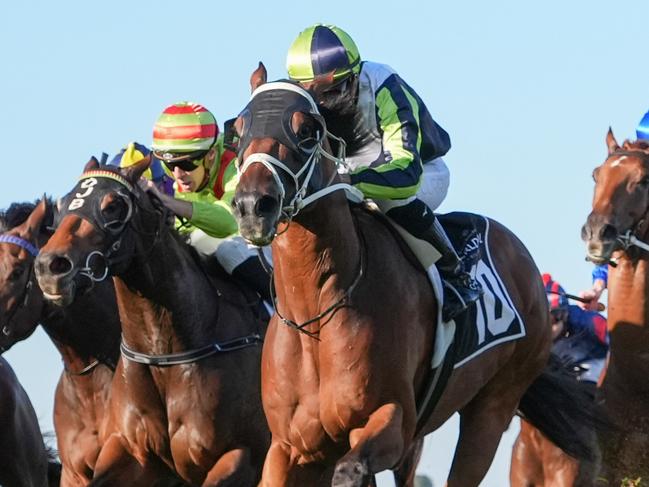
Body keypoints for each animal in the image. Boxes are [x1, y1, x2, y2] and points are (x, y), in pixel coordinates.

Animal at [230, 67, 600, 487]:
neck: (316, 316)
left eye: (307, 129)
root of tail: (525, 263)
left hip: (493, 407)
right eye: (239, 127)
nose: (252, 205)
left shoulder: (394, 420)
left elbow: (352, 469)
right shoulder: (288, 449)